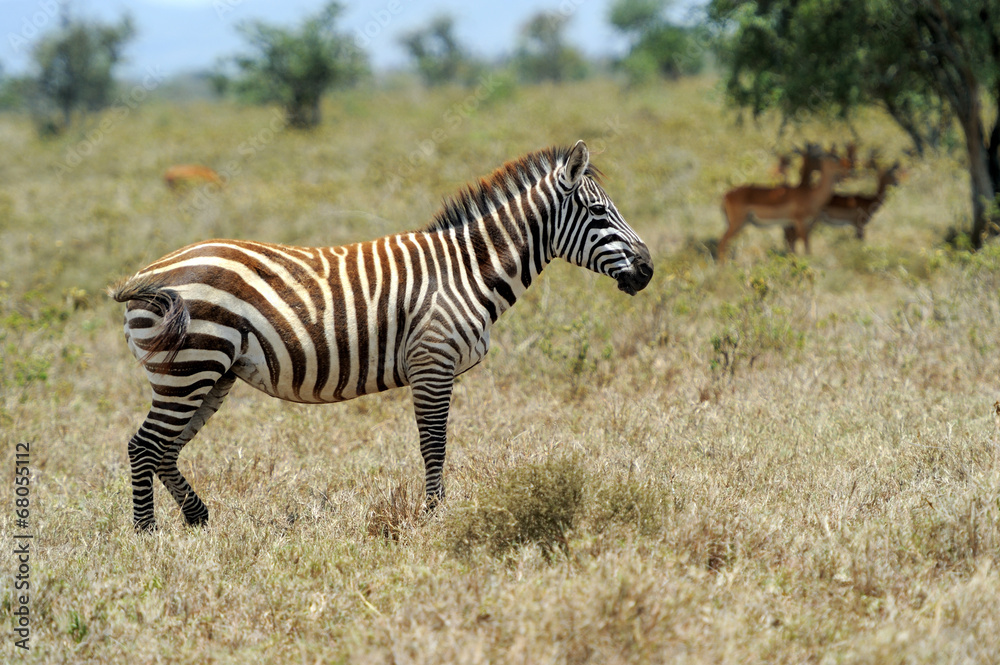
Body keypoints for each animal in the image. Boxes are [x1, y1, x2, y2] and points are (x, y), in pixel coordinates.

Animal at [110, 140, 653, 531]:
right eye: (600, 215)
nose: (648, 271)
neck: (466, 270)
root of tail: (146, 274)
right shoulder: (433, 361)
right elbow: (434, 443)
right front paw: (434, 516)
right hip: (189, 368)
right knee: (143, 446)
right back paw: (147, 535)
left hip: (210, 374)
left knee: (165, 449)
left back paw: (198, 519)